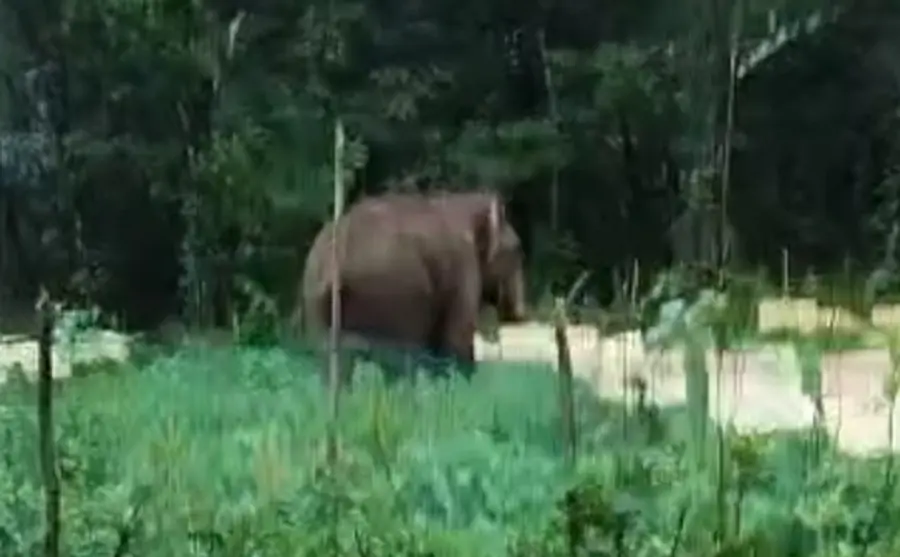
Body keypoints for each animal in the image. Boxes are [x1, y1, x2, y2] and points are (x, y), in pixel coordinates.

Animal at [299, 190, 527, 386]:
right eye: (517, 249)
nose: (520, 314)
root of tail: (335, 262)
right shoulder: (464, 267)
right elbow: (455, 340)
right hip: (393, 291)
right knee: (398, 359)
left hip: (316, 297)